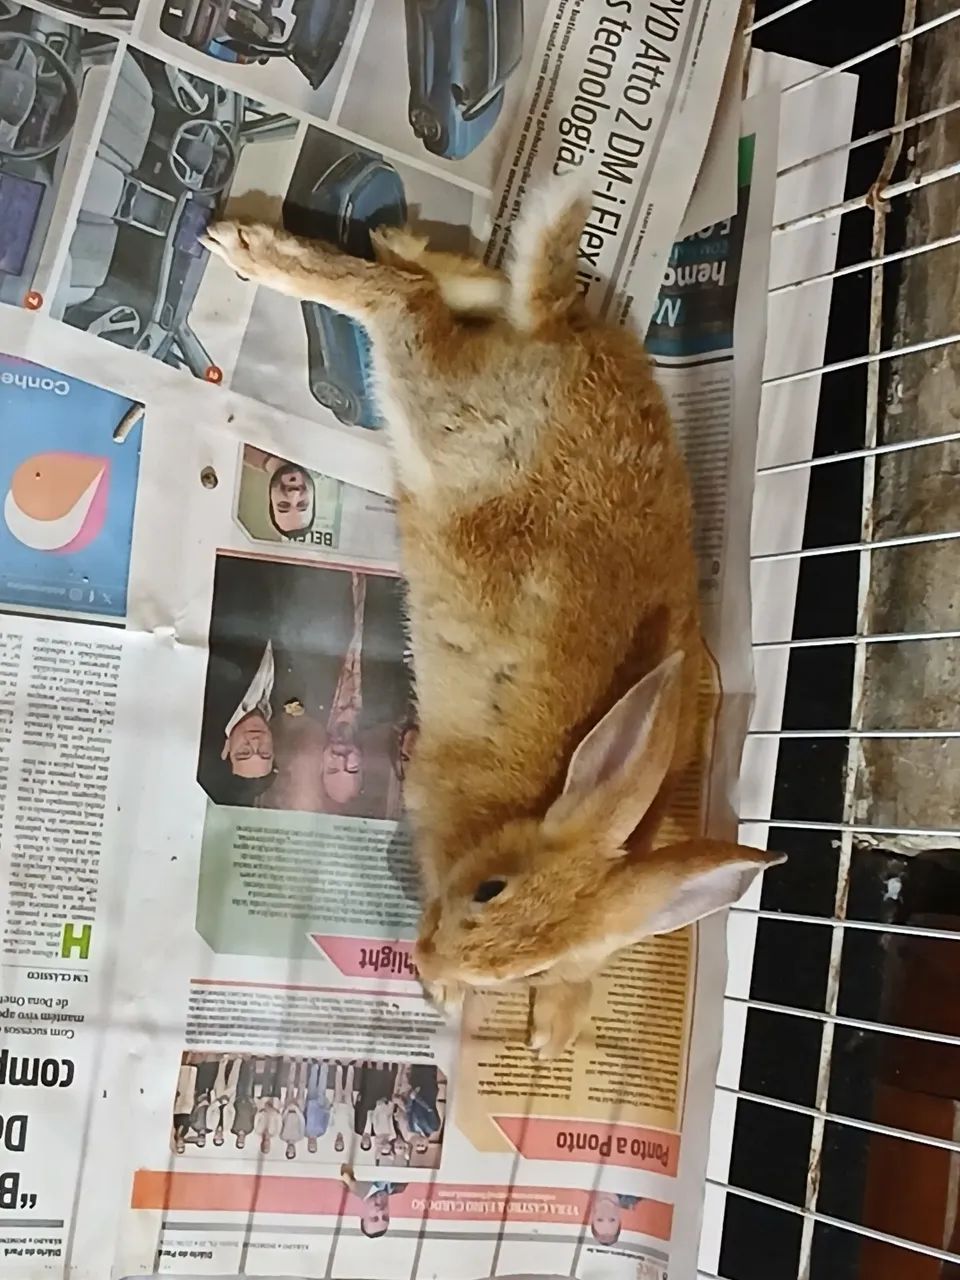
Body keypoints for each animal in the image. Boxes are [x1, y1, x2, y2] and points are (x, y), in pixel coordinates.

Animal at [200, 177, 784, 1057]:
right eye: (490, 890)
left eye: (525, 969)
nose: (431, 961)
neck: (522, 810)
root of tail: (558, 330)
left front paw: (554, 1029)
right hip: (439, 410)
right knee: (401, 305)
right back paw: (255, 249)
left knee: (449, 288)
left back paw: (399, 242)